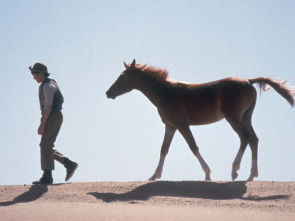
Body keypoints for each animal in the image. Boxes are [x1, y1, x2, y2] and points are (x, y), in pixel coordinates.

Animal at [107, 59, 295, 181]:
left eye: (123, 76)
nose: (108, 92)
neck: (166, 93)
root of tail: (249, 81)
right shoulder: (170, 126)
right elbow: (163, 149)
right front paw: (154, 175)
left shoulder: (182, 125)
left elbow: (193, 147)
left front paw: (207, 173)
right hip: (246, 117)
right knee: (254, 139)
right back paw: (251, 175)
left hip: (233, 117)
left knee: (245, 137)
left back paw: (235, 171)